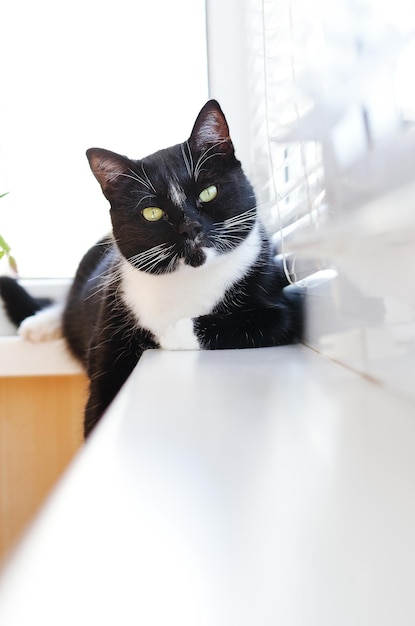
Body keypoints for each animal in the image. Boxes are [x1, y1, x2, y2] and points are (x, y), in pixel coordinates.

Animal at [1, 101, 304, 434]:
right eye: (152, 213)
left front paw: (166, 334)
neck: (188, 279)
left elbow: (248, 322)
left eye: (208, 192)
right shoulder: (111, 324)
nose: (190, 227)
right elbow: (99, 401)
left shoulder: (281, 306)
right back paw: (39, 324)